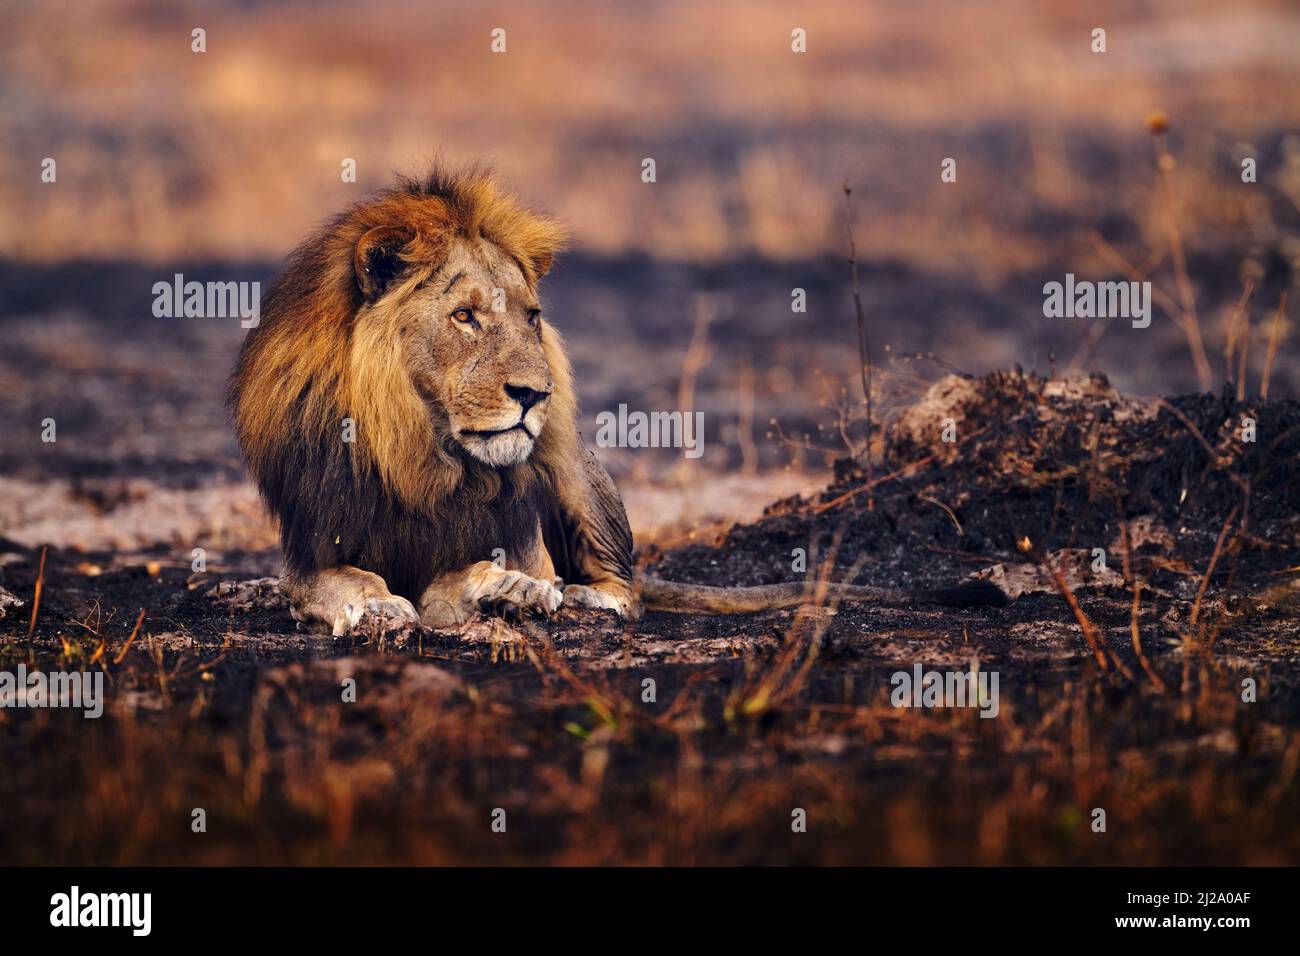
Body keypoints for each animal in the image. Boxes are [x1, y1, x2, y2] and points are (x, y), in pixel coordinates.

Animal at [229, 165, 1005, 635]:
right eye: (466, 316)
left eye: (531, 317)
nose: (534, 394)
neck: (426, 456)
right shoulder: (314, 546)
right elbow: (340, 582)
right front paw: (374, 605)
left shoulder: (518, 540)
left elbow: (458, 582)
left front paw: (505, 593)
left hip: (573, 466)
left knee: (625, 588)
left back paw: (584, 597)